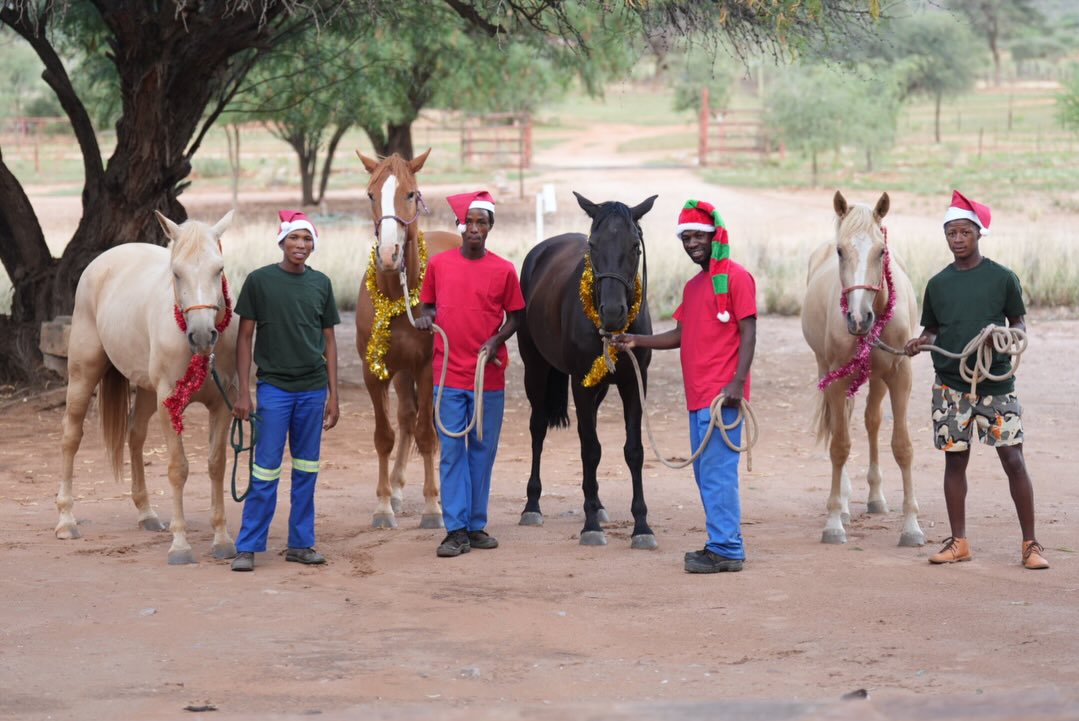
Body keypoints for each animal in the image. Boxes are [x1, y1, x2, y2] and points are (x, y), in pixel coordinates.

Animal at [56, 210, 239, 564]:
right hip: (84, 374)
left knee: (135, 435)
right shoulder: (169, 401)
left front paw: (222, 540)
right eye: (176, 273)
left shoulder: (223, 404)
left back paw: (147, 514)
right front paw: (180, 545)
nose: (202, 335)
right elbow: (178, 468)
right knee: (71, 437)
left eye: (219, 269)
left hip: (146, 391)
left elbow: (216, 465)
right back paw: (66, 521)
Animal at [355, 149, 461, 529]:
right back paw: (398, 488)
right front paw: (384, 505)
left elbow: (428, 435)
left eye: (411, 193)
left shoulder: (428, 367)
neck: (395, 294)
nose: (389, 255)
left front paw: (432, 507)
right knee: (406, 417)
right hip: (401, 372)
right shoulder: (374, 371)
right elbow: (385, 436)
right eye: (371, 195)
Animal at [517, 191, 658, 548]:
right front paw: (590, 526)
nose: (612, 312)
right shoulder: (580, 385)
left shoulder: (635, 383)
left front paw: (642, 526)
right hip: (535, 369)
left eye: (635, 245)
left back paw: (596, 502)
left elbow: (633, 451)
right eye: (593, 245)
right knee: (538, 428)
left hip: (600, 387)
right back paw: (532, 505)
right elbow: (590, 449)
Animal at [801, 191, 925, 547]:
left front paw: (911, 526)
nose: (858, 318)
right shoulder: (836, 380)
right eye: (841, 251)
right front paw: (833, 521)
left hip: (877, 379)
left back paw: (876, 498)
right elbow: (840, 446)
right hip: (826, 370)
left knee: (871, 422)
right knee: (839, 426)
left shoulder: (900, 376)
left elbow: (902, 447)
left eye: (881, 251)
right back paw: (843, 505)